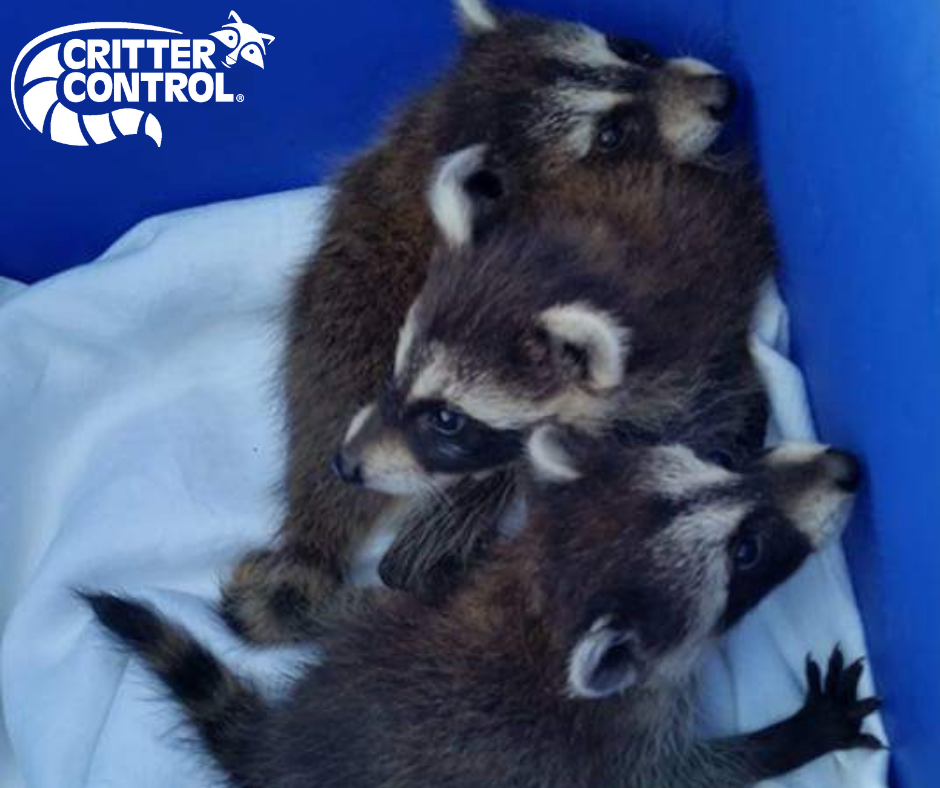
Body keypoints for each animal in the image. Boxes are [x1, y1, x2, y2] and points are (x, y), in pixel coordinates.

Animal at [87, 432, 881, 788]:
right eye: (747, 551)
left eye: (722, 464)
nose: (848, 467)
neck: (541, 608)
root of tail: (281, 744)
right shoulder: (609, 739)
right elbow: (689, 774)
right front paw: (794, 735)